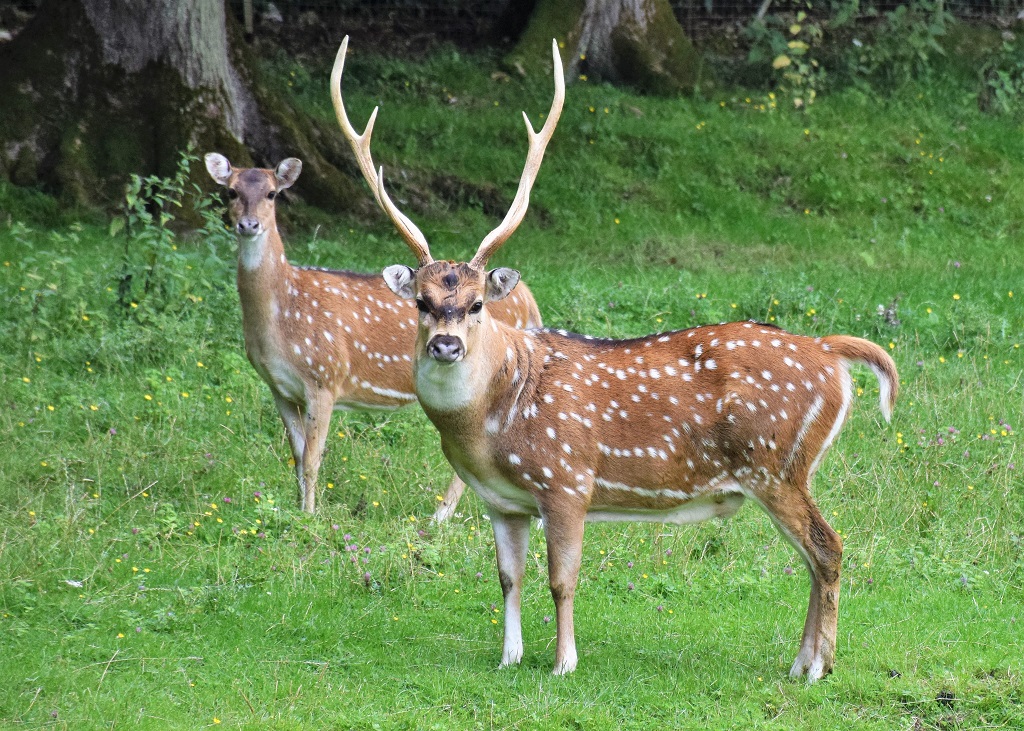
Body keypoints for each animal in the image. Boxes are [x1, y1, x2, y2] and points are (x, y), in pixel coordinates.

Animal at [205, 151, 544, 516]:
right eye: (231, 192)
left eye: (271, 194)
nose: (248, 225)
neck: (281, 318)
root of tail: (529, 299)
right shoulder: (278, 387)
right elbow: (296, 455)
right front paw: (298, 508)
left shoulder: (325, 376)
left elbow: (312, 457)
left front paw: (309, 516)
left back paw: (441, 516)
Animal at [331, 38, 901, 675]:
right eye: (421, 302)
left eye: (477, 303)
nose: (446, 345)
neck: (490, 426)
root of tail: (830, 353)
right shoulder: (504, 502)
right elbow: (508, 578)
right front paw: (509, 658)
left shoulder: (566, 479)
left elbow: (562, 580)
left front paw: (563, 663)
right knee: (815, 552)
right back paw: (807, 660)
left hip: (777, 461)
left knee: (828, 546)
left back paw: (813, 667)